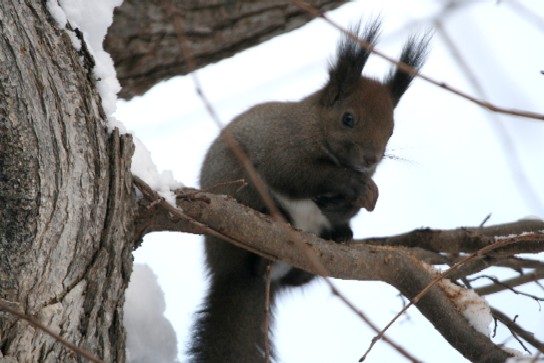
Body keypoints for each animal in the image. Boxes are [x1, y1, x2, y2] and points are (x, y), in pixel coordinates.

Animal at [189, 19, 428, 363]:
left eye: (392, 129)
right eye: (348, 118)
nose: (370, 159)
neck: (315, 126)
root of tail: (228, 275)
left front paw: (348, 204)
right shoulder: (283, 146)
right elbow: (296, 174)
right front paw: (350, 184)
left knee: (298, 277)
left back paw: (338, 235)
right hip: (236, 185)